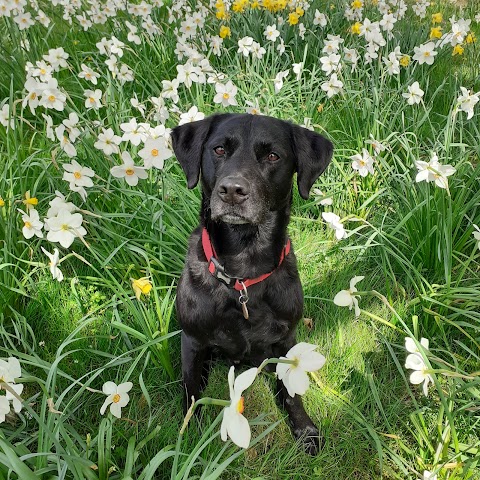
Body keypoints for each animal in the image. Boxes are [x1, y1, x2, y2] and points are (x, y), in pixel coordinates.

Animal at [172, 112, 334, 454]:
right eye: (219, 150)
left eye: (272, 156)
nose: (232, 190)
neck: (242, 269)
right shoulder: (192, 341)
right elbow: (192, 392)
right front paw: (188, 439)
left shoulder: (286, 341)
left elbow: (291, 392)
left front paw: (304, 428)